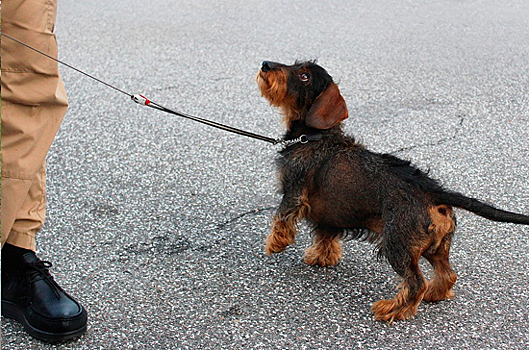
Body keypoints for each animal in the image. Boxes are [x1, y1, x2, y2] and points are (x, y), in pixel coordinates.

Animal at [256, 60, 528, 322]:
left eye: (304, 76)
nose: (265, 64)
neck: (314, 136)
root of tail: (432, 190)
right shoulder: (329, 216)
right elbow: (325, 236)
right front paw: (321, 257)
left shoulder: (294, 190)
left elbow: (281, 216)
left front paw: (275, 243)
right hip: (434, 246)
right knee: (448, 274)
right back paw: (434, 294)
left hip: (396, 244)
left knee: (416, 284)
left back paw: (393, 309)